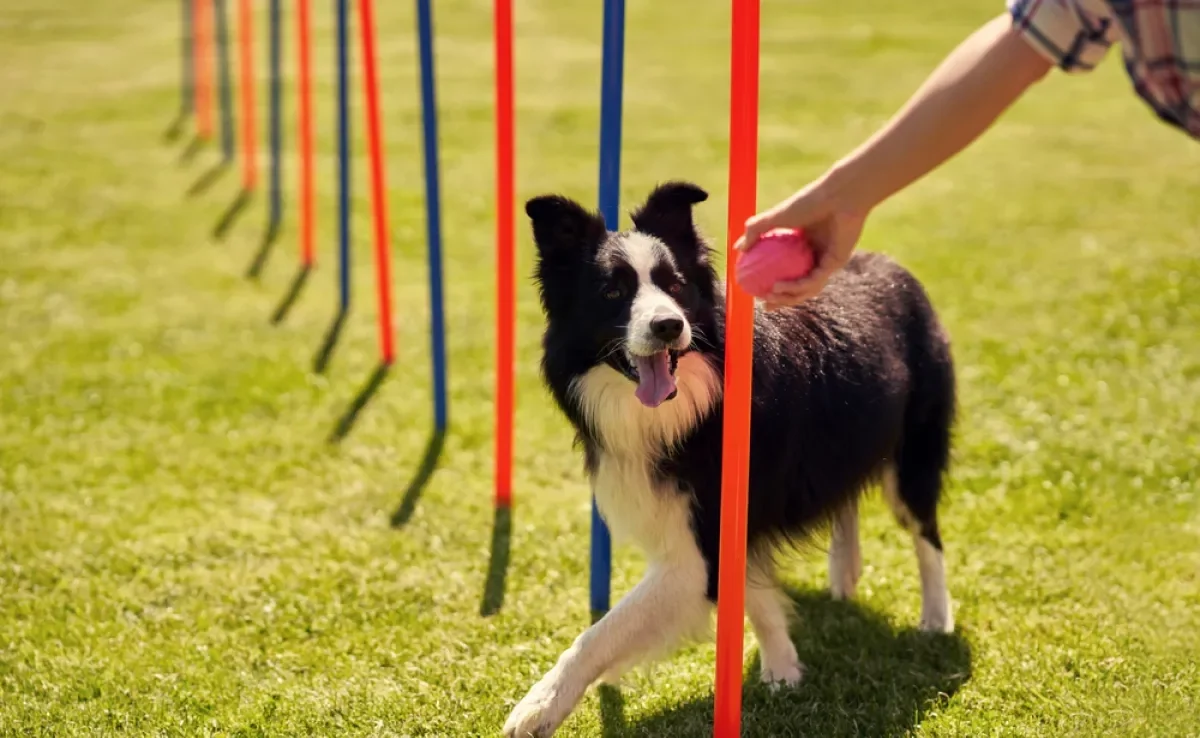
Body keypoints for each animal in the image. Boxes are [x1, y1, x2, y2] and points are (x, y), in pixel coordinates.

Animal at [506, 182, 955, 734]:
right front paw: (783, 667)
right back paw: (845, 572)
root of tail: (890, 264)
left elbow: (602, 633)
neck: (689, 408)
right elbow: (754, 593)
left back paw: (936, 617)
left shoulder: (699, 548)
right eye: (612, 293)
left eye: (675, 285)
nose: (668, 325)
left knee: (926, 531)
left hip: (915, 449)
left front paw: (538, 706)